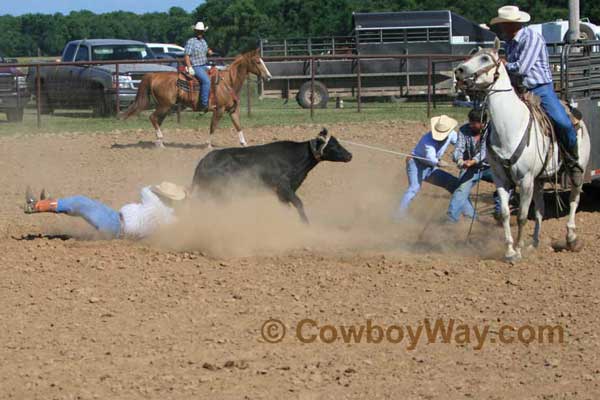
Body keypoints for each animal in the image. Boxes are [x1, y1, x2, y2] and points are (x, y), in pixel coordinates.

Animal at [122, 49, 272, 148]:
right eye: (258, 62)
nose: (269, 76)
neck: (228, 82)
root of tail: (154, 75)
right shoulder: (219, 110)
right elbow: (213, 127)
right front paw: (208, 145)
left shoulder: (233, 110)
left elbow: (238, 126)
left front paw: (244, 143)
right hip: (165, 105)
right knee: (152, 118)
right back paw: (160, 139)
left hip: (166, 107)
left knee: (157, 120)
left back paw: (160, 143)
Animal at [454, 44, 592, 262]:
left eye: (485, 58)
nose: (459, 71)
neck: (509, 126)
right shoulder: (502, 178)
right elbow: (505, 213)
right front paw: (510, 250)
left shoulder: (525, 179)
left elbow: (521, 216)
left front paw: (517, 251)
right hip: (540, 179)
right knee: (540, 209)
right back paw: (534, 244)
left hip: (578, 168)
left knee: (574, 199)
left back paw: (571, 238)